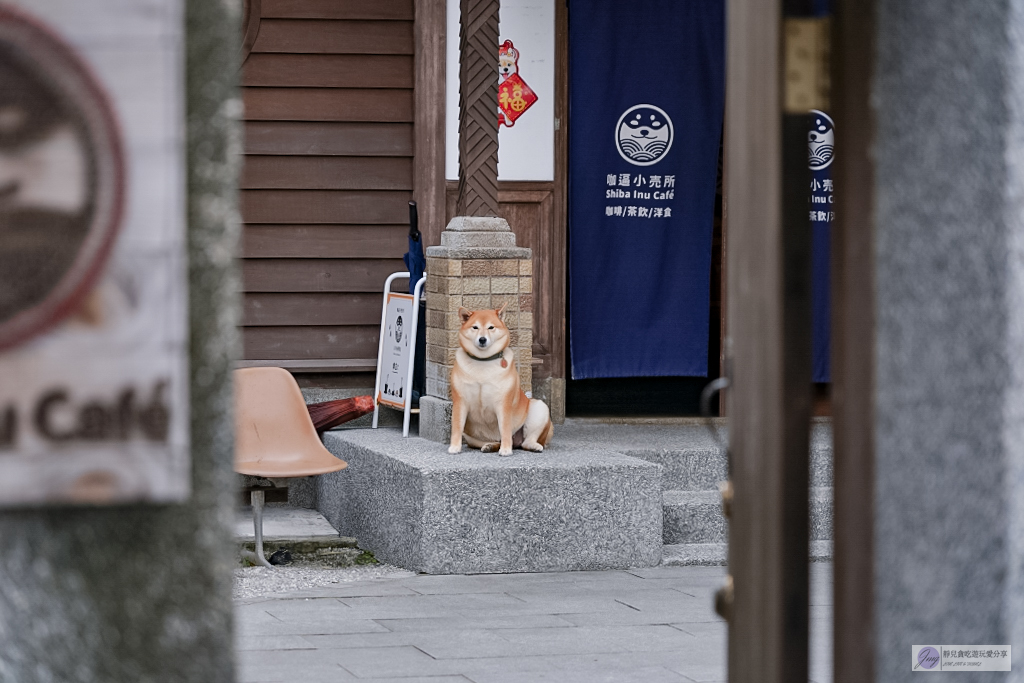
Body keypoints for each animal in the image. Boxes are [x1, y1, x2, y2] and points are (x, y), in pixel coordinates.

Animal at [450, 307, 552, 456]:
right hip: (471, 436)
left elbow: (505, 428)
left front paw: (506, 450)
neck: (483, 361)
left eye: (491, 327)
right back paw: (489, 446)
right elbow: (457, 427)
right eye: (475, 327)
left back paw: (533, 446)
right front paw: (454, 447)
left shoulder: (504, 402)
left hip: (539, 408)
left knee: (527, 441)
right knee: (490, 442)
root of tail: (516, 442)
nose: (482, 339)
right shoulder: (460, 400)